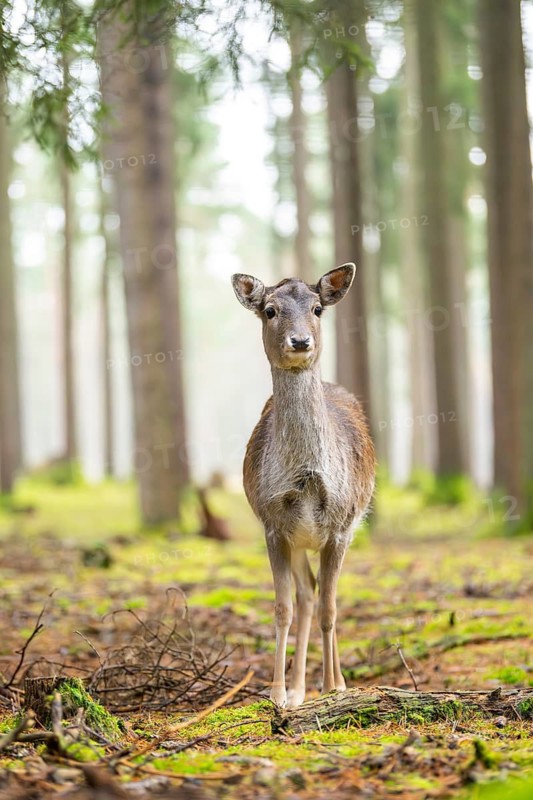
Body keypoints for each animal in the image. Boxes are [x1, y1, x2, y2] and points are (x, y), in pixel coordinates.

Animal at [231, 264, 376, 708]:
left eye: (317, 308)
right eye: (270, 310)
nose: (300, 341)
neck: (309, 480)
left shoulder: (341, 527)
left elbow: (332, 608)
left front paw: (334, 687)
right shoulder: (274, 524)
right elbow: (283, 607)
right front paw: (278, 692)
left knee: (324, 597)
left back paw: (329, 683)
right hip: (298, 540)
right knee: (307, 594)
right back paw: (297, 689)